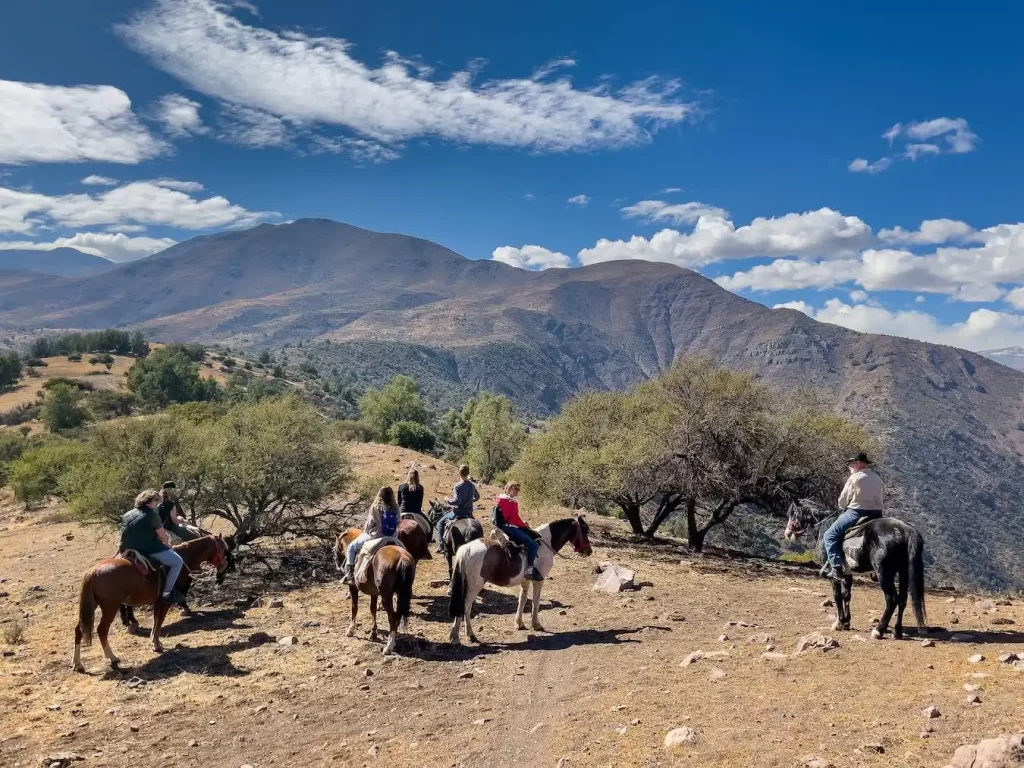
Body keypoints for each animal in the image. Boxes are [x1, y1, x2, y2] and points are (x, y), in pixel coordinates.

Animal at [73, 536, 229, 671]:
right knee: (101, 630)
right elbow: (159, 622)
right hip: (110, 607)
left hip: (91, 606)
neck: (184, 558)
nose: (223, 567)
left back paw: (78, 664)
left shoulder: (157, 602)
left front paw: (155, 642)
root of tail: (92, 572)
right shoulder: (165, 602)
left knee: (79, 630)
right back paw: (112, 657)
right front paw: (157, 645)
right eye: (222, 548)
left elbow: (155, 622)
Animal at [448, 514, 593, 647]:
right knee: (465, 608)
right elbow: (536, 601)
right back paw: (460, 636)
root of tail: (466, 548)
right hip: (474, 587)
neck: (544, 544)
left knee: (466, 608)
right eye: (584, 529)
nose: (589, 551)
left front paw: (519, 623)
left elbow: (522, 600)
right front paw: (536, 624)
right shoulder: (539, 580)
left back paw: (467, 635)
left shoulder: (526, 580)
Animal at [782, 501, 929, 638]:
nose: (787, 533)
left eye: (793, 513)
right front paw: (846, 622)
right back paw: (897, 631)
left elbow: (837, 596)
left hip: (884, 573)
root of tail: (906, 530)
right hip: (903, 571)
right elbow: (846, 595)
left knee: (892, 599)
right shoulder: (848, 573)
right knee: (903, 600)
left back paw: (878, 630)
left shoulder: (833, 575)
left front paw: (839, 623)